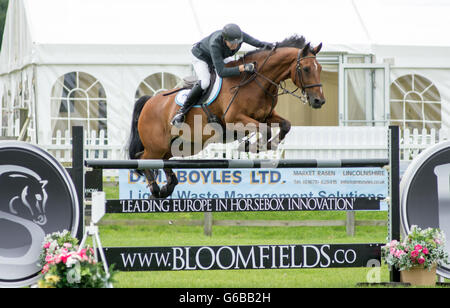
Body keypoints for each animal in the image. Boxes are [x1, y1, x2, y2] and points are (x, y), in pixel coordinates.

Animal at [128, 35, 326, 197]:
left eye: (320, 69)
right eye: (306, 69)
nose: (319, 101)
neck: (255, 81)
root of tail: (149, 101)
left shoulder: (266, 115)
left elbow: (285, 125)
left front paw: (265, 144)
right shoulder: (235, 120)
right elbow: (265, 130)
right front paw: (253, 146)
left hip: (183, 145)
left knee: (159, 159)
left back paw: (167, 187)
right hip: (157, 145)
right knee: (143, 158)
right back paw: (156, 189)